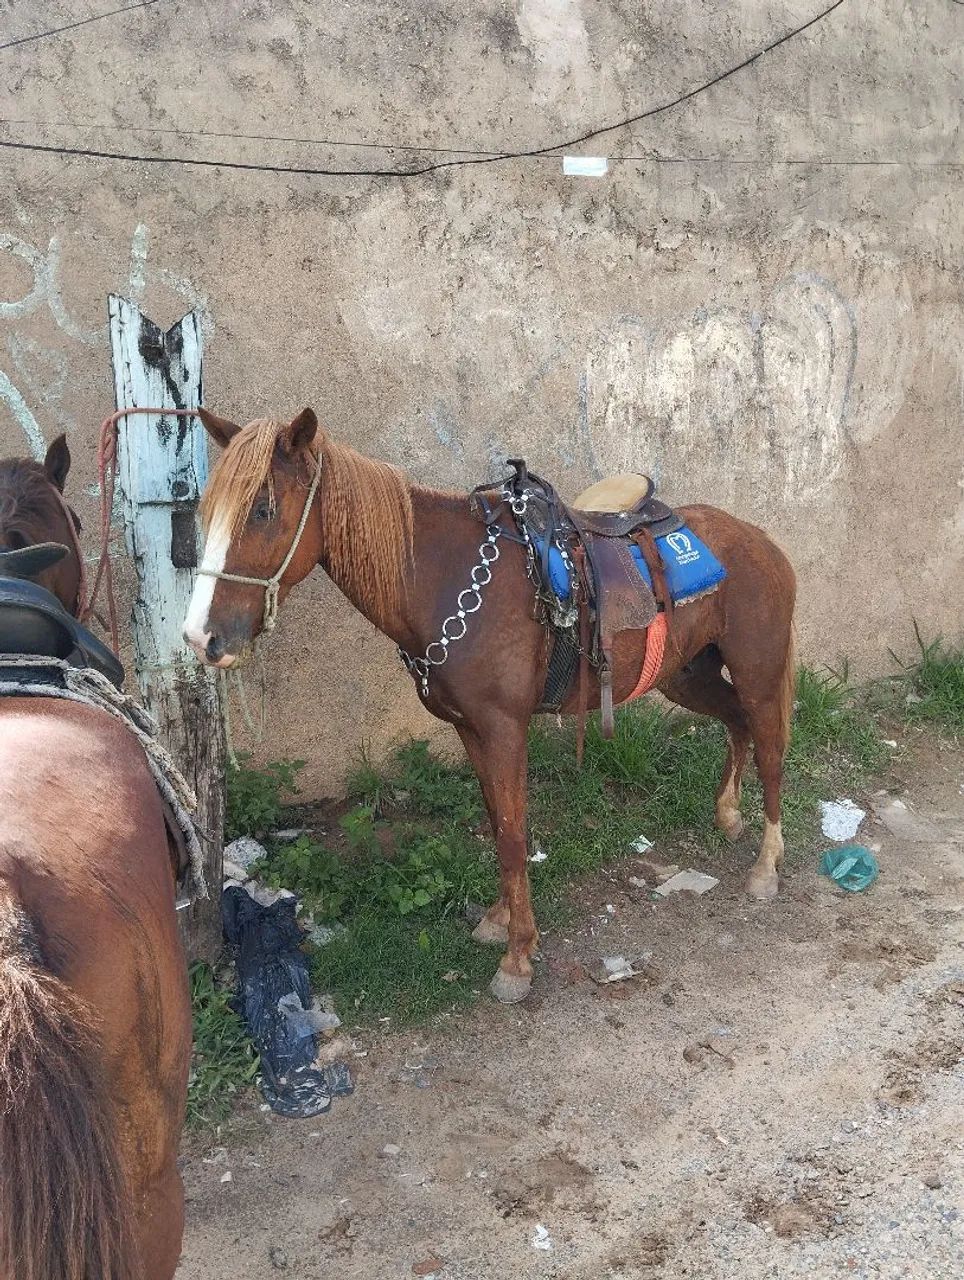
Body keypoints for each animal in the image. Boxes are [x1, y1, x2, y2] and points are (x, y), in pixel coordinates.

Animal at [184, 407, 796, 1004]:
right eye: (206, 513)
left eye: (263, 509)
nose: (200, 638)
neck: (443, 577)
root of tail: (761, 540)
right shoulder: (470, 730)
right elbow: (498, 825)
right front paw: (502, 921)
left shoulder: (504, 728)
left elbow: (514, 832)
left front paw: (518, 958)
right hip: (686, 676)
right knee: (736, 722)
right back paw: (728, 814)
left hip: (759, 676)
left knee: (770, 752)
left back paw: (766, 867)